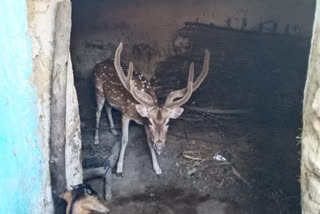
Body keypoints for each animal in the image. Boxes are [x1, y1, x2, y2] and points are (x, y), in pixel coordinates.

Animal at [93, 42, 210, 176]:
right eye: (150, 122)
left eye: (168, 122)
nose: (159, 145)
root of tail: (97, 64)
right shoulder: (126, 114)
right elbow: (124, 140)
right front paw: (119, 167)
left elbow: (149, 142)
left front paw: (157, 168)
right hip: (98, 91)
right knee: (98, 111)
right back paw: (96, 139)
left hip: (110, 98)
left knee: (108, 107)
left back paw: (113, 131)